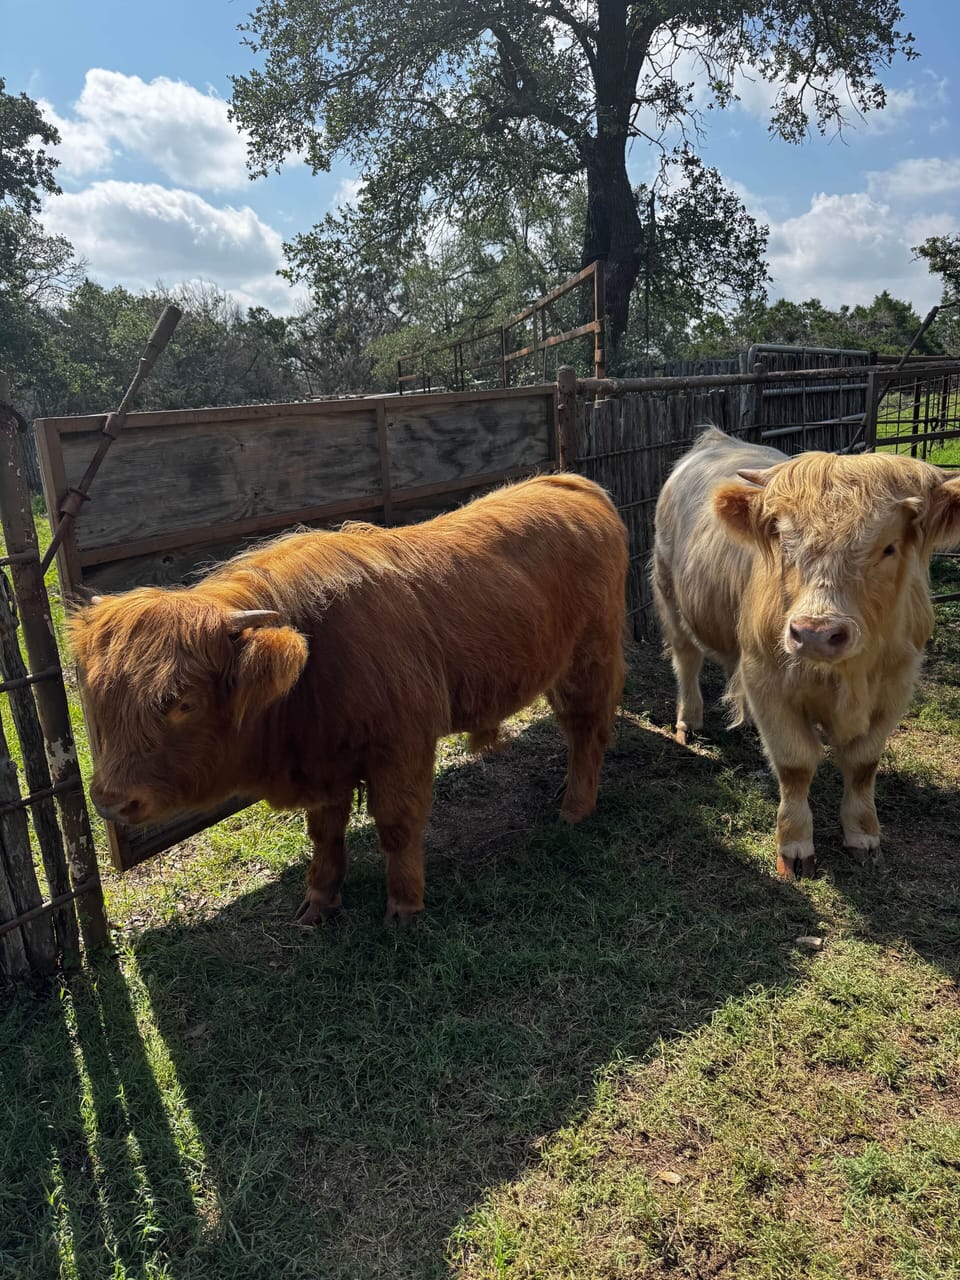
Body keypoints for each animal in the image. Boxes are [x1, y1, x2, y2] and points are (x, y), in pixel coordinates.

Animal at [69, 474, 628, 922]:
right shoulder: (326, 763)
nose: (111, 799)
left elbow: (396, 827)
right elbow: (325, 833)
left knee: (587, 726)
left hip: (590, 657)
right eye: (100, 701)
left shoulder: (401, 747)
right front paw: (318, 901)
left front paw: (404, 906)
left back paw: (576, 806)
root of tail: (571, 482)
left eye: (183, 702)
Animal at [652, 426, 960, 879]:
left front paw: (864, 836)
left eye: (888, 548)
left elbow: (863, 764)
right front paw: (795, 847)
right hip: (671, 598)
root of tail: (715, 439)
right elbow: (796, 765)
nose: (815, 634)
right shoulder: (767, 677)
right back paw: (688, 721)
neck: (849, 677)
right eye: (783, 539)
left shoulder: (896, 684)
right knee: (687, 660)